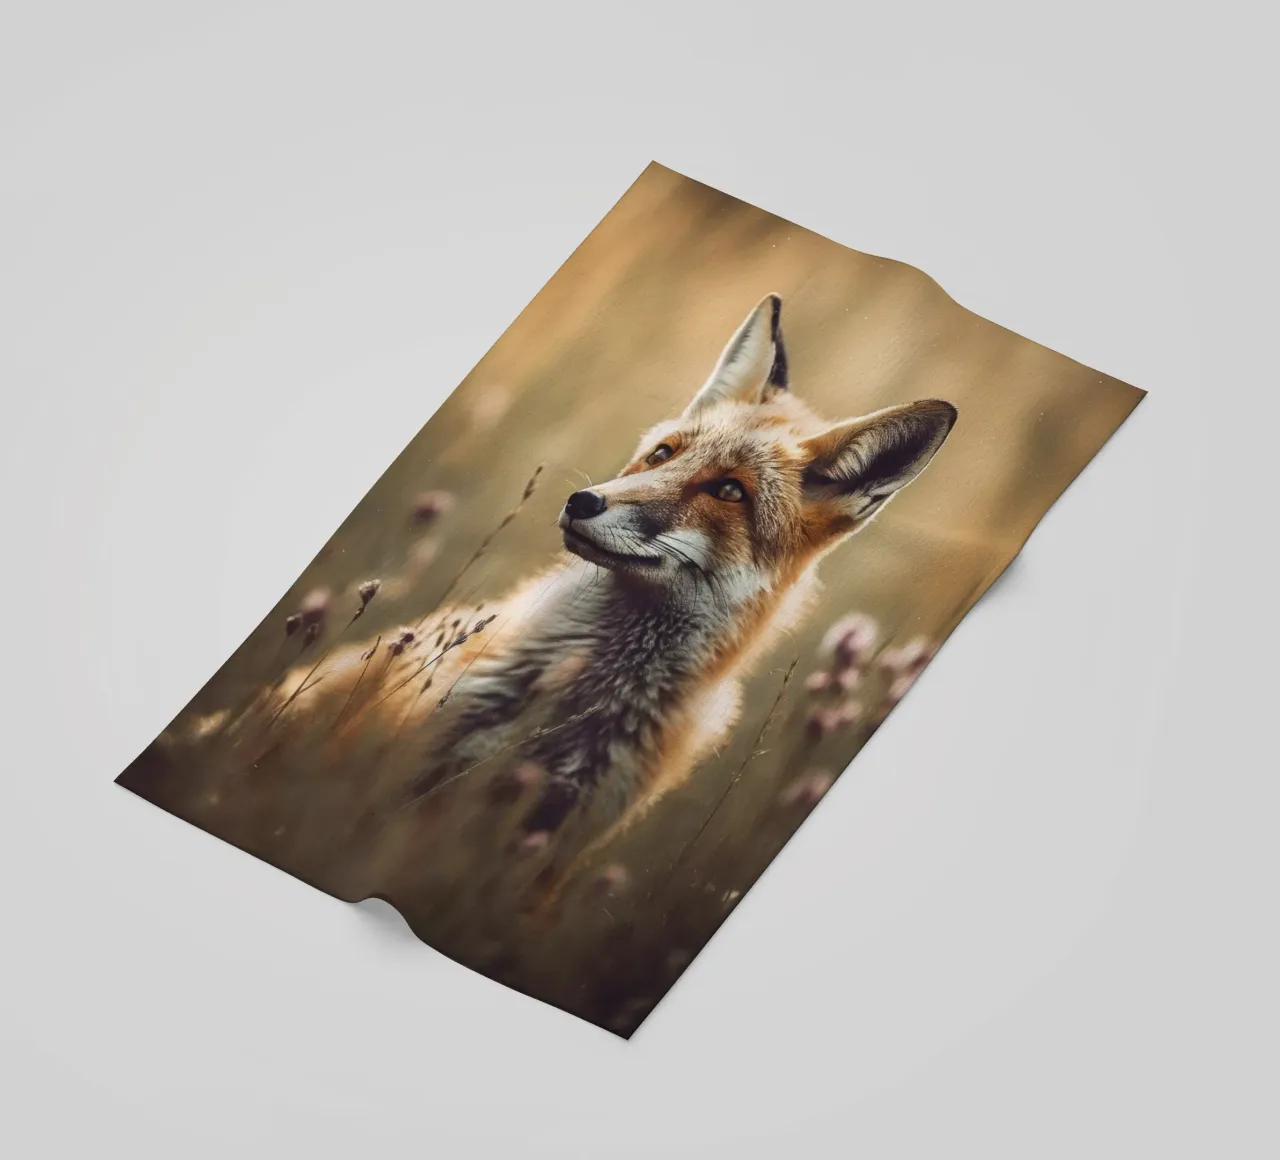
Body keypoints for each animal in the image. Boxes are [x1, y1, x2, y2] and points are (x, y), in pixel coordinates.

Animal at [210, 294, 956, 873]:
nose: (582, 501)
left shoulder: (549, 847)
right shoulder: (403, 764)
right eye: (663, 454)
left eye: (728, 491)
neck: (577, 706)